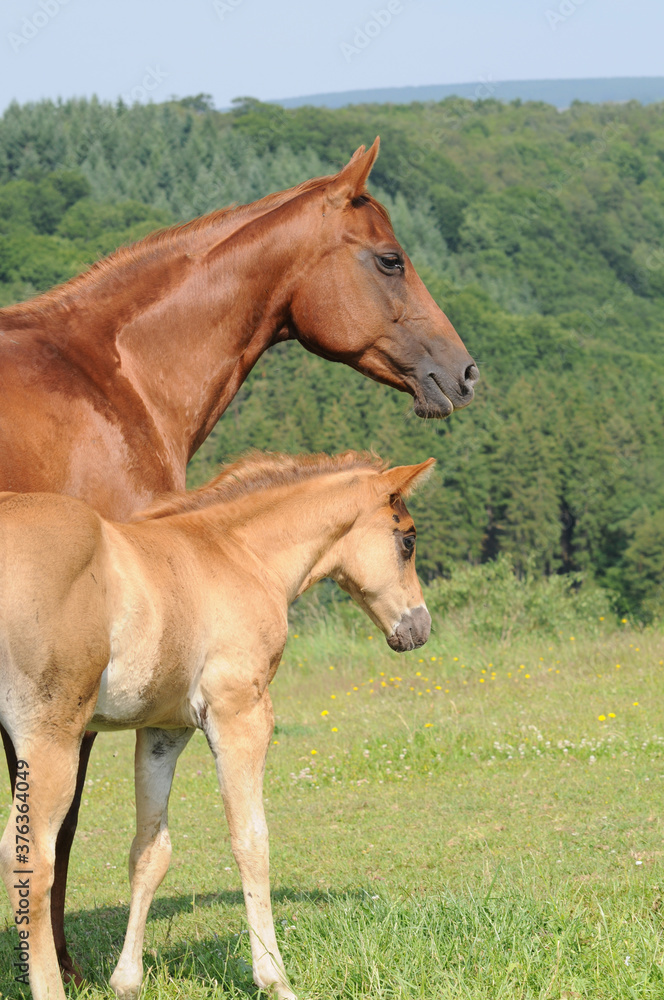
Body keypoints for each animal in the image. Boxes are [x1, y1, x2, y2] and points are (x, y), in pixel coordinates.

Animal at [0, 449, 433, 1000]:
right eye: (408, 539)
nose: (419, 628)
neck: (238, 554)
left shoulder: (163, 730)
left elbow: (150, 852)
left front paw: (127, 979)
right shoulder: (240, 714)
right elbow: (251, 840)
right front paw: (274, 977)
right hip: (50, 739)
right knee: (30, 860)